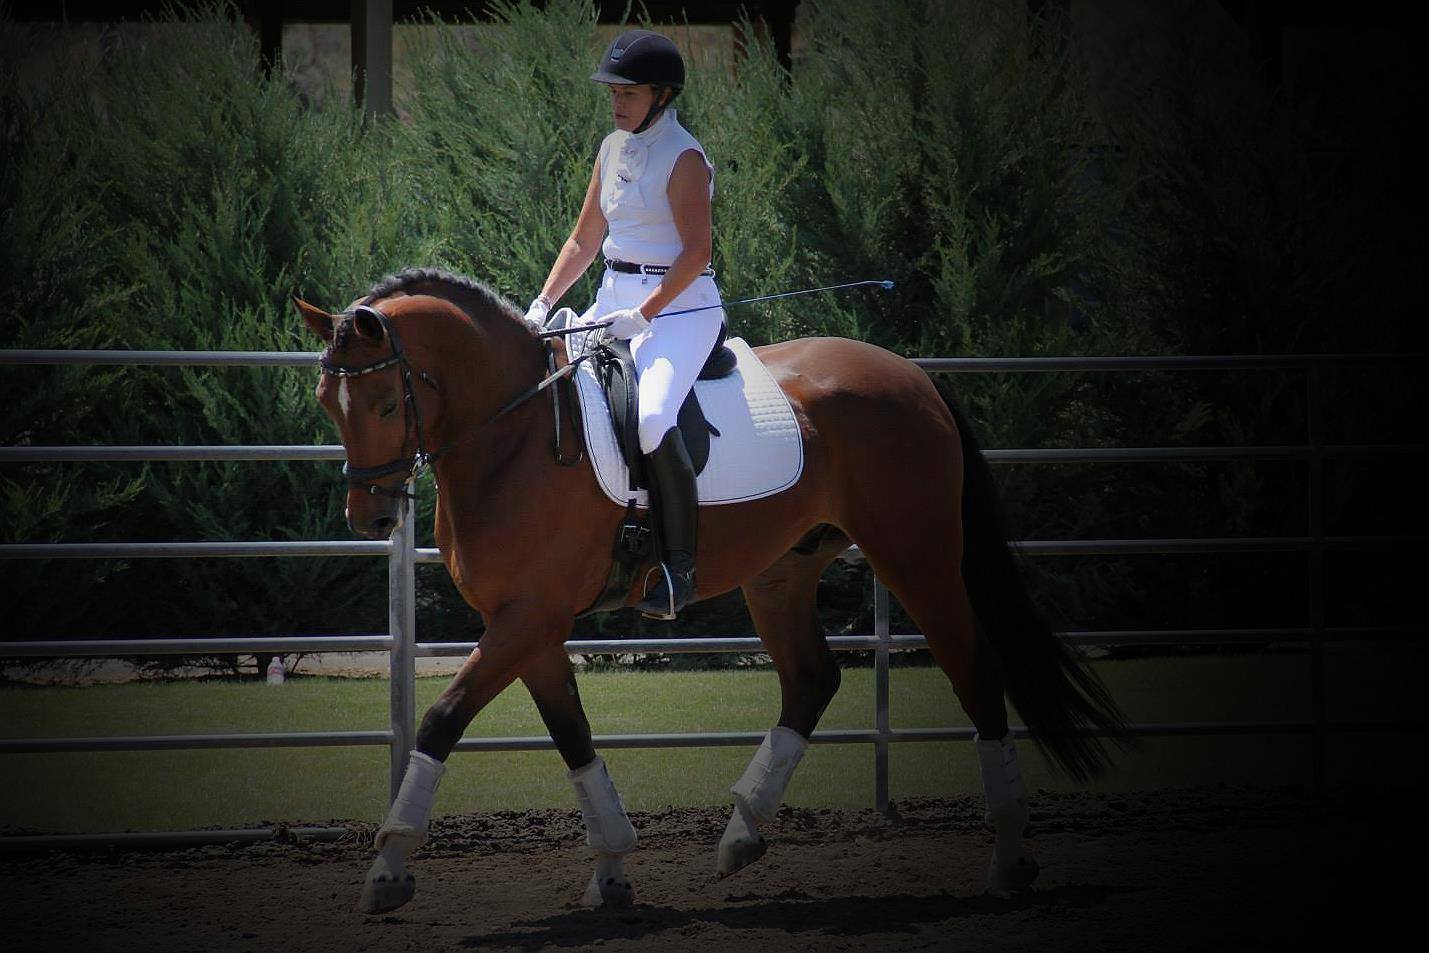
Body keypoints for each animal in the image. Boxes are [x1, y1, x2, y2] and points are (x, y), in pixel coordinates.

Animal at [295, 267, 1127, 914]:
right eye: (326, 402)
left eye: (385, 403)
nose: (370, 516)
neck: (518, 433)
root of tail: (911, 374)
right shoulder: (528, 623)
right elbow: (572, 734)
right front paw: (610, 869)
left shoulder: (526, 616)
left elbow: (441, 718)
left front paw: (387, 867)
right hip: (782, 570)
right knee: (810, 679)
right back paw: (741, 832)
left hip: (915, 556)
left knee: (972, 669)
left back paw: (1009, 856)